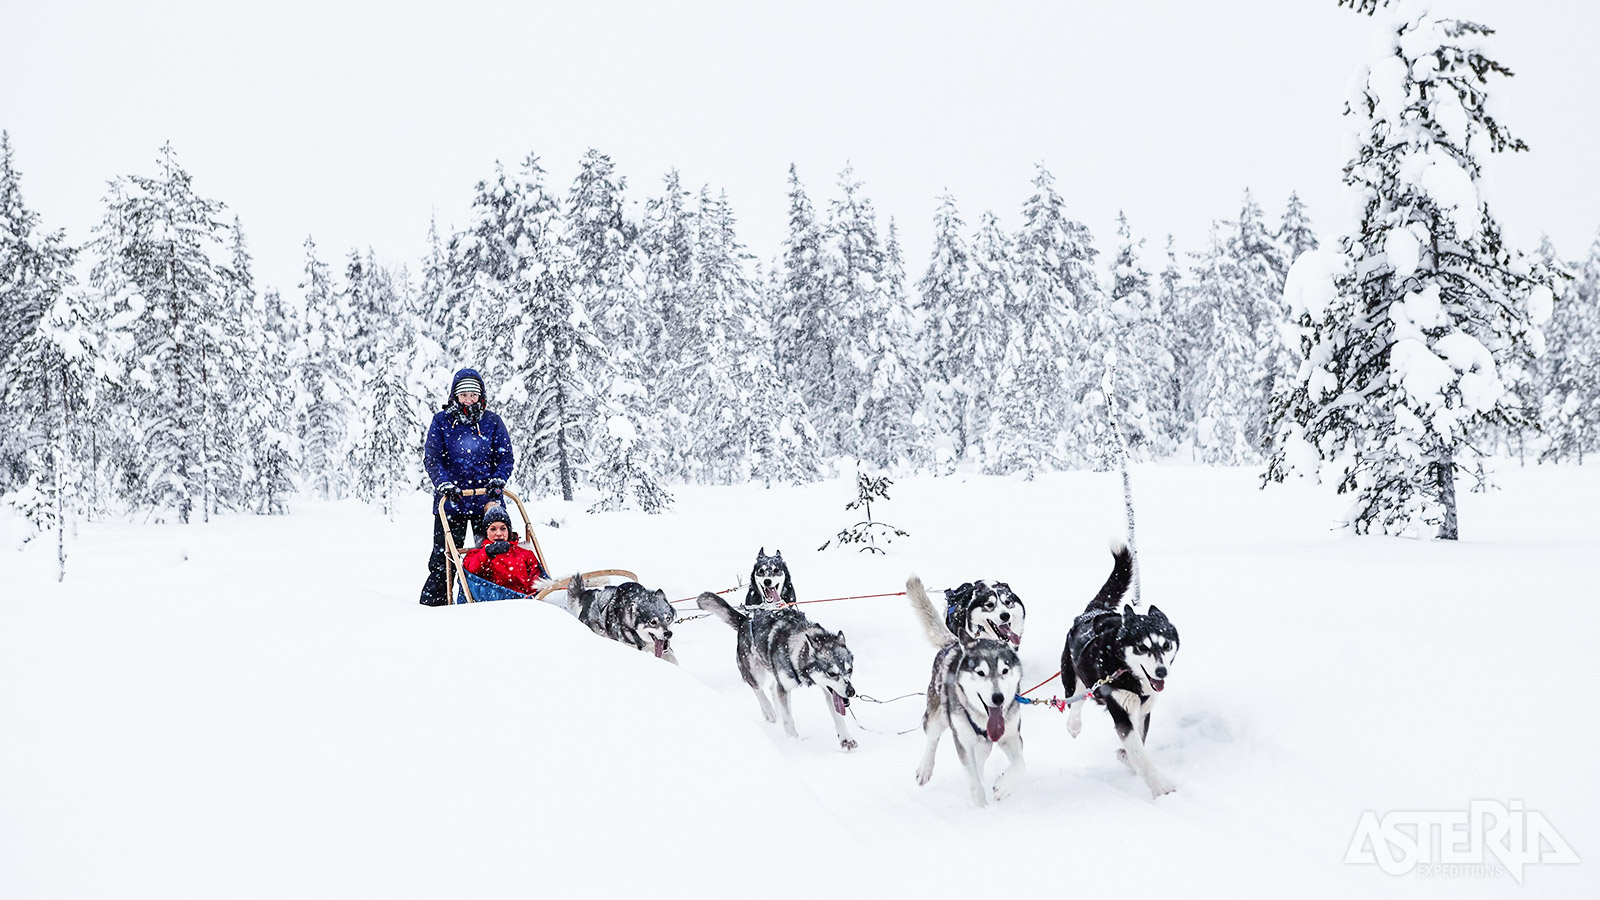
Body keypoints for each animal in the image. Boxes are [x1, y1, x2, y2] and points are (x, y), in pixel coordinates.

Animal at [694, 592, 857, 746]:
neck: (797, 648)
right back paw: (769, 710)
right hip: (755, 671)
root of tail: (744, 621)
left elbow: (838, 715)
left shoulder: (828, 689)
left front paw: (846, 738)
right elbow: (788, 719)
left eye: (850, 670)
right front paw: (793, 740)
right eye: (831, 673)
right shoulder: (784, 687)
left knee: (773, 689)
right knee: (757, 687)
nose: (851, 692)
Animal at [915, 634, 1024, 800]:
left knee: (980, 760)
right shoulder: (963, 742)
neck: (983, 719)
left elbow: (1020, 764)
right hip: (936, 716)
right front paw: (981, 805)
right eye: (980, 672)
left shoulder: (1011, 735)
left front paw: (1004, 786)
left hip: (984, 745)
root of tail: (953, 642)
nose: (998, 698)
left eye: (1005, 670)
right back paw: (925, 768)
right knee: (933, 738)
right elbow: (974, 783)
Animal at [1062, 534, 1177, 794]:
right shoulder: (1120, 710)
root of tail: (1094, 611)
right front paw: (1160, 789)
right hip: (1072, 678)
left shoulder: (1144, 709)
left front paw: (1125, 756)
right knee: (1075, 702)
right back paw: (1074, 725)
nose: (1161, 671)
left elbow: (1138, 744)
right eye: (1142, 647)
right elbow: (1140, 755)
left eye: (1166, 645)